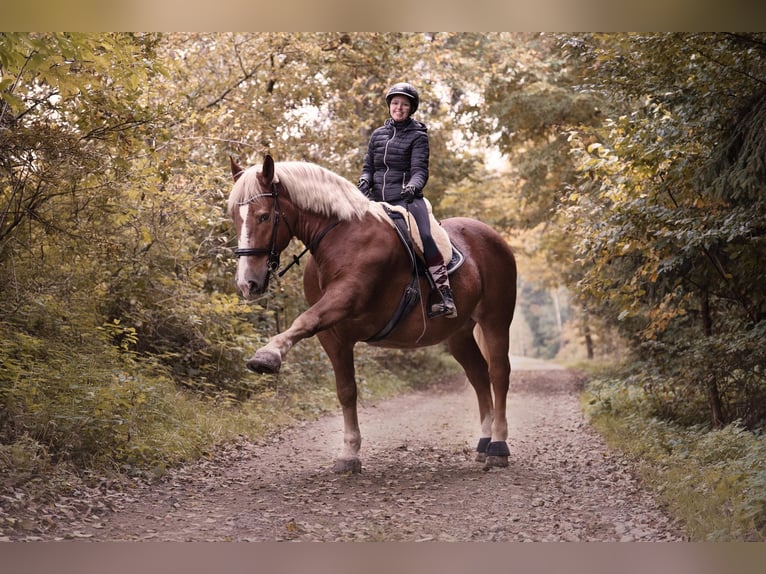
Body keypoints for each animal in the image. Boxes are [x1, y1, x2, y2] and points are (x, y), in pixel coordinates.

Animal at [228, 154, 517, 474]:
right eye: (235, 217)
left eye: (264, 216)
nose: (247, 283)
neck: (340, 236)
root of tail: (491, 236)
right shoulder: (334, 336)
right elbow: (346, 390)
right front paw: (349, 453)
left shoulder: (343, 300)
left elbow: (304, 320)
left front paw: (267, 356)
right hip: (460, 334)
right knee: (478, 376)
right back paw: (484, 442)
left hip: (496, 320)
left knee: (499, 373)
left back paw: (498, 447)